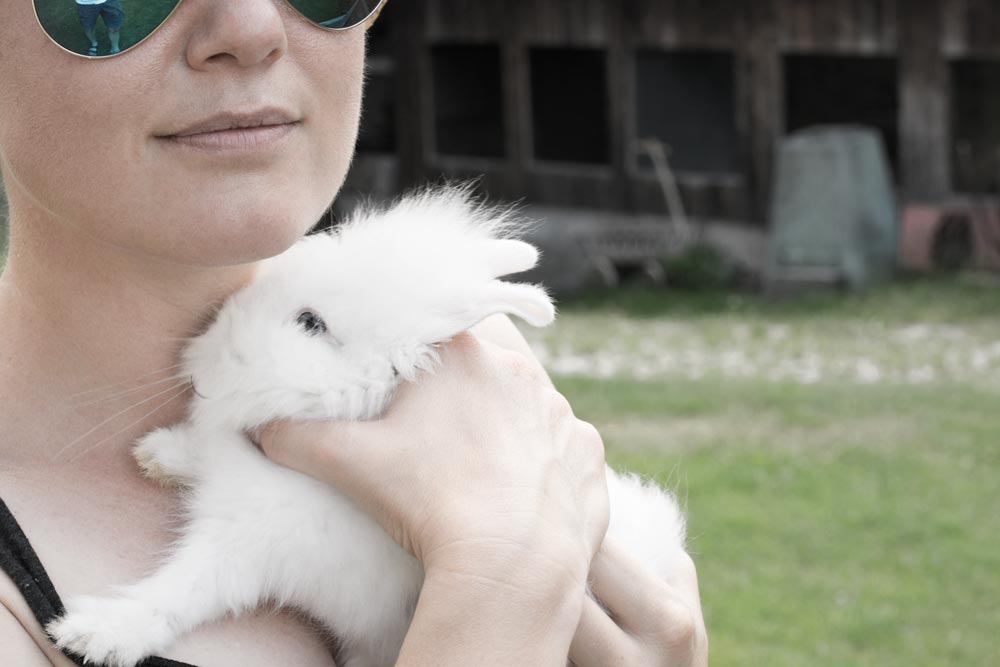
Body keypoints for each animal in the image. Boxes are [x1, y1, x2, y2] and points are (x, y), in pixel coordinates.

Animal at [48, 188, 688, 667]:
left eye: (311, 323)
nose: (199, 354)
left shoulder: (249, 542)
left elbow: (180, 591)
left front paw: (93, 633)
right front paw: (159, 453)